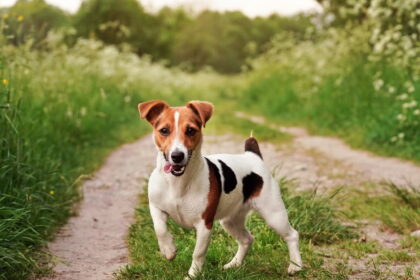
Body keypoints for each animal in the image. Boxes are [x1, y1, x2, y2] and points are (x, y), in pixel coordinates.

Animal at [138, 100, 302, 278]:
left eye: (190, 130)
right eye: (164, 131)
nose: (177, 156)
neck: (177, 182)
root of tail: (252, 155)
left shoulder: (204, 225)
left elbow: (198, 253)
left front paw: (192, 275)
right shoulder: (156, 207)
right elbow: (159, 229)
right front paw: (168, 250)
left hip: (273, 214)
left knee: (292, 235)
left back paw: (296, 266)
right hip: (230, 220)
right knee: (247, 239)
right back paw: (234, 264)